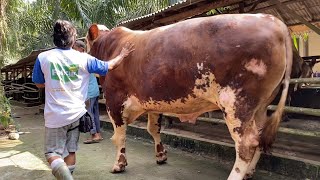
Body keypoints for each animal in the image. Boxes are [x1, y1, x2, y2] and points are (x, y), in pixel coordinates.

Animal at [85, 14, 292, 180]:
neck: (110, 46)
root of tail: (273, 20)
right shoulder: (152, 102)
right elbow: (153, 129)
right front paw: (161, 155)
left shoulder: (114, 100)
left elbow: (119, 136)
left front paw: (119, 164)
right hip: (260, 106)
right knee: (259, 137)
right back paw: (249, 172)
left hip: (236, 103)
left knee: (246, 143)